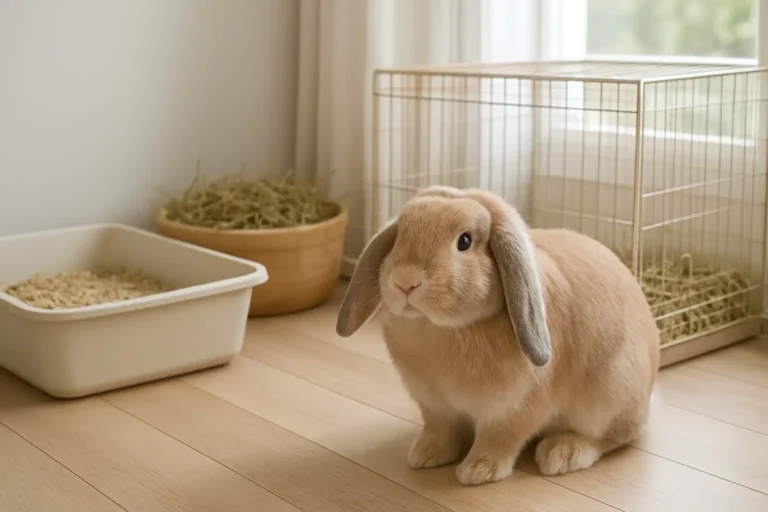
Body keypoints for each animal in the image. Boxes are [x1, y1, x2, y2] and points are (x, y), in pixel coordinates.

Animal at [335, 185, 660, 486]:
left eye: (464, 241)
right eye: (400, 235)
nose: (405, 281)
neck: (446, 328)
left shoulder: (515, 408)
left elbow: (500, 438)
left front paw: (478, 471)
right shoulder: (434, 405)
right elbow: (440, 430)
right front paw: (425, 455)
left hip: (608, 397)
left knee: (611, 436)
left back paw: (562, 453)